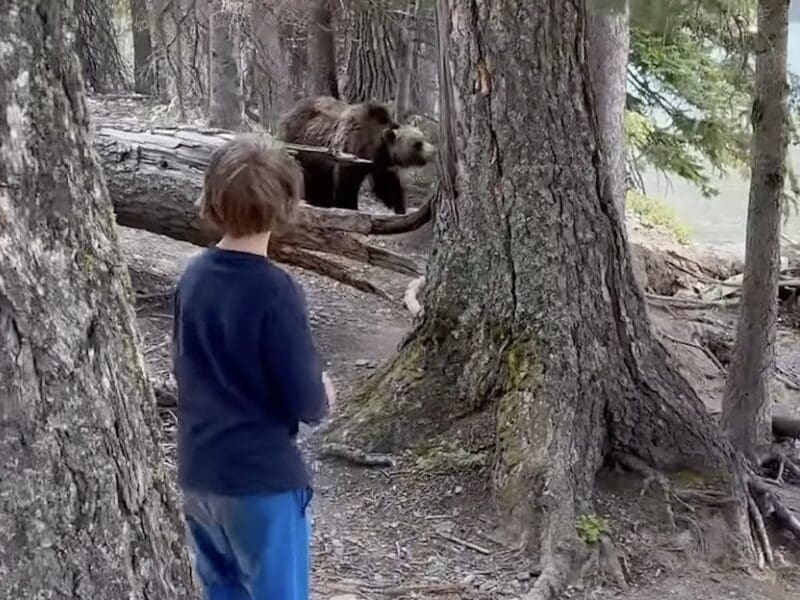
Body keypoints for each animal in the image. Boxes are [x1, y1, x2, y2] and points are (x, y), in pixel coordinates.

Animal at [276, 96, 435, 215]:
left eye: (424, 138)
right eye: (418, 144)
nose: (433, 152)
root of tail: (289, 111)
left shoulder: (381, 164)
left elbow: (388, 184)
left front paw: (399, 207)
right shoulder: (352, 150)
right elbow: (347, 181)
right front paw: (348, 205)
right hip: (300, 142)